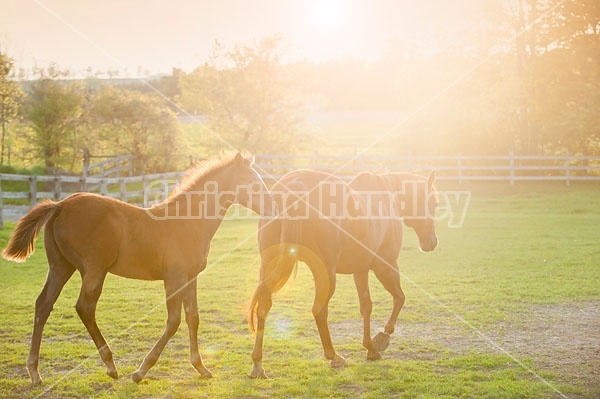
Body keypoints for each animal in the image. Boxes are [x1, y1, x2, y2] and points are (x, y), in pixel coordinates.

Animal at [1, 152, 274, 384]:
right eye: (253, 182)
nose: (272, 207)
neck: (188, 222)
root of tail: (60, 205)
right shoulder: (174, 278)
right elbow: (174, 321)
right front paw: (141, 370)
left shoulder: (190, 277)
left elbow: (193, 318)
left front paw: (201, 367)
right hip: (94, 269)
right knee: (84, 307)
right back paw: (110, 366)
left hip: (61, 266)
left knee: (43, 304)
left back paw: (34, 372)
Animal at [246, 169, 438, 378]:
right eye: (434, 203)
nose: (432, 242)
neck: (386, 196)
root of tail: (294, 185)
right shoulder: (385, 265)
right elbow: (399, 298)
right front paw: (382, 337)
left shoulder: (360, 270)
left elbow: (366, 306)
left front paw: (370, 348)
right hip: (327, 273)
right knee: (319, 310)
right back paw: (333, 356)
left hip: (270, 265)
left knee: (263, 307)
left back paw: (257, 363)